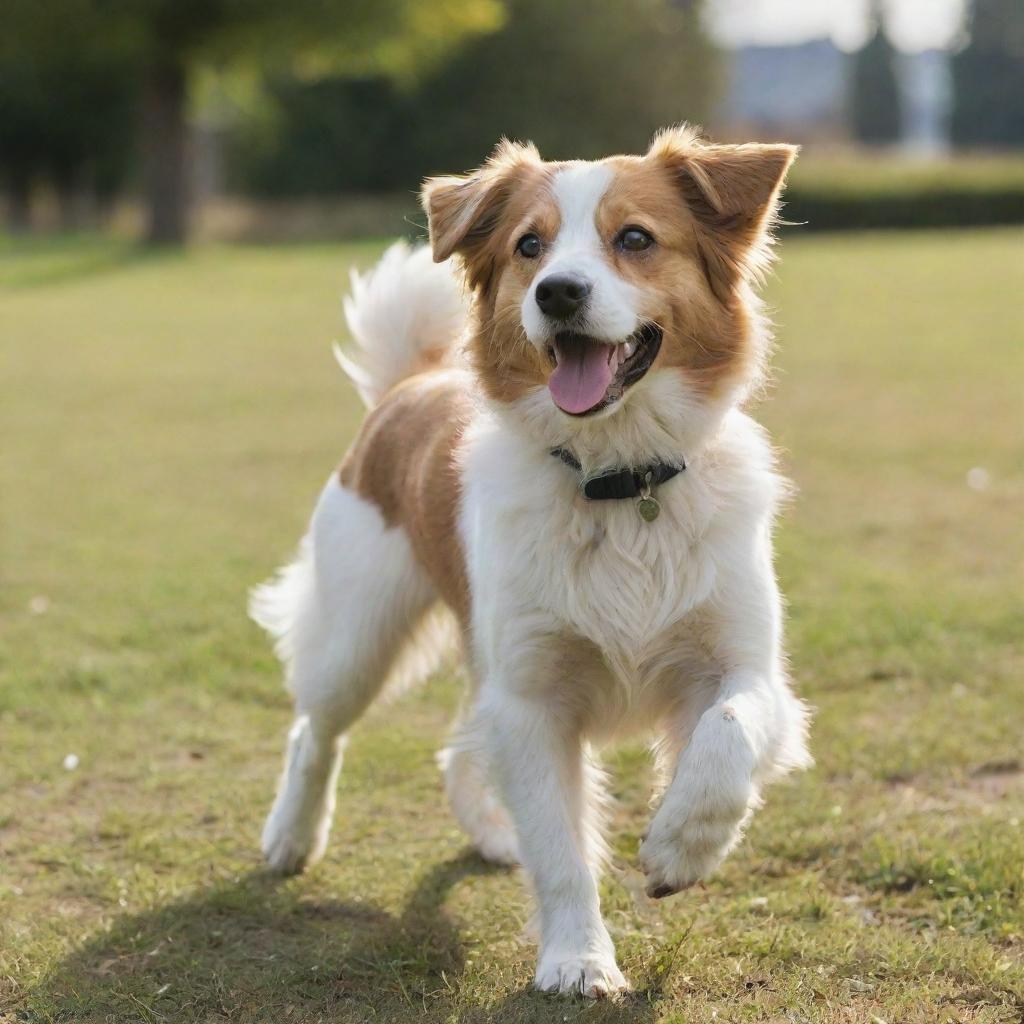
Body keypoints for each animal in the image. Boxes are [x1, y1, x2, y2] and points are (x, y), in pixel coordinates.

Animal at [247, 125, 806, 999]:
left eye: (634, 239)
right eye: (529, 246)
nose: (558, 294)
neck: (619, 483)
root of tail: (412, 382)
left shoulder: (746, 665)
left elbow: (728, 735)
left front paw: (682, 845)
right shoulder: (534, 700)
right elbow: (562, 851)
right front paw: (578, 959)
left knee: (455, 746)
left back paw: (491, 832)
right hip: (358, 638)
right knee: (316, 732)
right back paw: (291, 838)